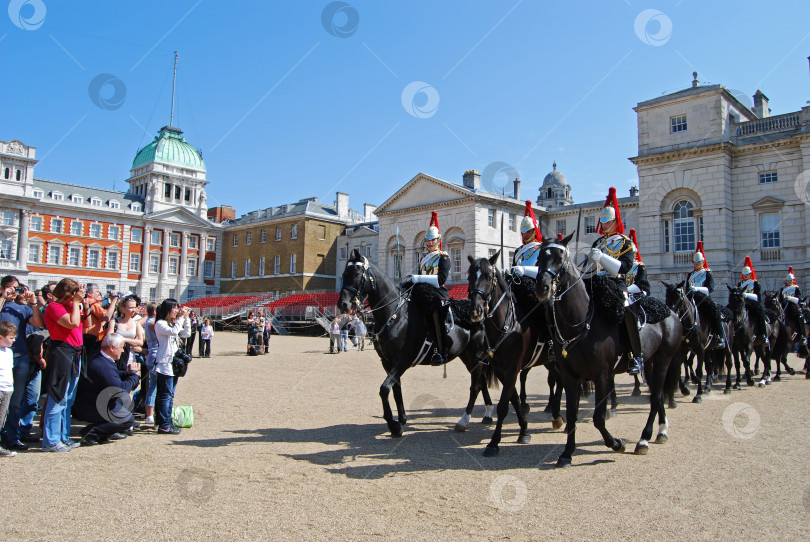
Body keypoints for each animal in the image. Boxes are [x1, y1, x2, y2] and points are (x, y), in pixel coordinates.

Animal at [336, 250, 492, 438]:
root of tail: (478, 313)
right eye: (344, 274)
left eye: (357, 274)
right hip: (468, 357)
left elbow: (384, 389)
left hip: (475, 355)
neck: (395, 314)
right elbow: (396, 389)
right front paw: (401, 419)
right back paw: (488, 414)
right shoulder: (387, 362)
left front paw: (393, 425)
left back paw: (464, 420)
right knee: (481, 382)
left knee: (475, 386)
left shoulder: (403, 359)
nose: (343, 305)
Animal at [468, 253, 560, 456]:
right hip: (549, 361)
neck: (508, 324)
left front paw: (494, 442)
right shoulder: (502, 371)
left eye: (488, 277)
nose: (475, 311)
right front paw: (524, 430)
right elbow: (515, 399)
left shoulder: (512, 369)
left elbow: (503, 405)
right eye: (469, 276)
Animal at [536, 236, 680, 470]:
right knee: (657, 396)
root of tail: (670, 311)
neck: (581, 322)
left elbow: (598, 418)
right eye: (540, 256)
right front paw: (567, 453)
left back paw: (644, 439)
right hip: (649, 362)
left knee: (656, 396)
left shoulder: (602, 374)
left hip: (663, 360)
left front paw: (616, 443)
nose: (542, 287)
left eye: (560, 258)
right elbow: (572, 414)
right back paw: (660, 431)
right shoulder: (569, 377)